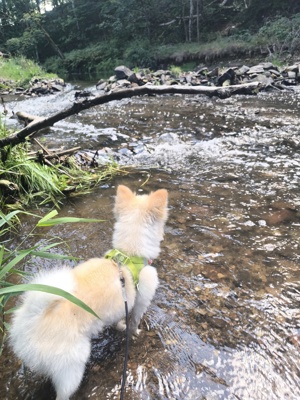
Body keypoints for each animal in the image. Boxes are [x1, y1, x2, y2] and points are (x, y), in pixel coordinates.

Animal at [8, 187, 169, 400]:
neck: (128, 255)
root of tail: (34, 316)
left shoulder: (123, 306)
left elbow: (120, 320)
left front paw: (121, 327)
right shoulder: (141, 300)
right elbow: (134, 322)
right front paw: (135, 333)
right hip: (73, 364)